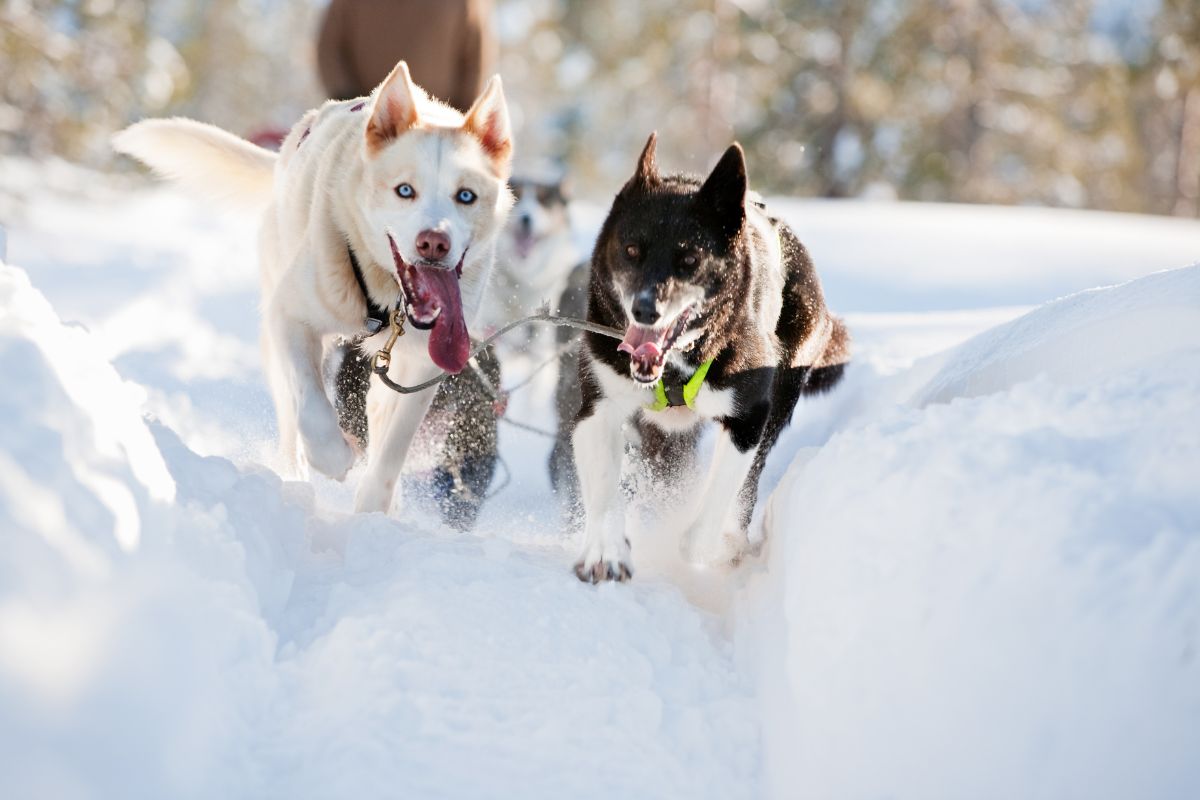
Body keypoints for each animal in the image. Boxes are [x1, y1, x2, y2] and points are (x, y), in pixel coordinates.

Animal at [566, 131, 849, 582]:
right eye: (631, 249)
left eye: (690, 259)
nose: (645, 310)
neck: (678, 364)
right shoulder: (599, 408)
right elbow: (606, 490)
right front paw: (606, 551)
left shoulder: (749, 417)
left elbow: (713, 509)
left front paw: (703, 547)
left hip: (781, 397)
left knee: (746, 484)